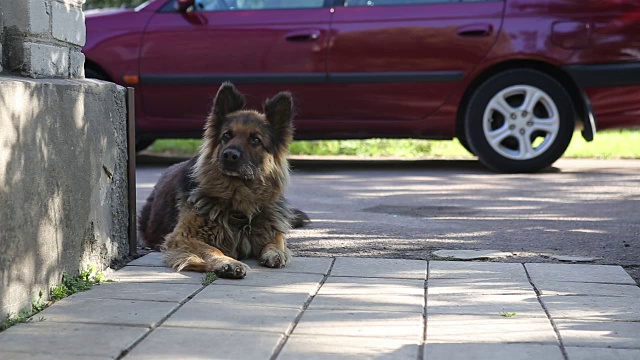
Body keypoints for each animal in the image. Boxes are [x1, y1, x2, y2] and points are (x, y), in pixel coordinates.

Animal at [138, 83, 308, 278]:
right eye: (227, 135)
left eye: (255, 140)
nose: (229, 155)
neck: (237, 199)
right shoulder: (182, 237)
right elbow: (211, 249)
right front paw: (227, 263)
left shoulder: (271, 225)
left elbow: (278, 238)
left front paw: (275, 252)